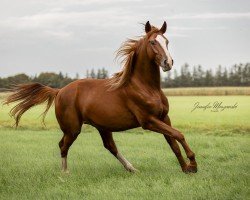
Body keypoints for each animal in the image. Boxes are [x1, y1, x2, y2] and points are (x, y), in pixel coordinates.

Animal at [4, 21, 197, 173]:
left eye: (166, 41)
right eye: (152, 42)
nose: (168, 63)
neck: (145, 87)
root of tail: (59, 91)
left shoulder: (164, 117)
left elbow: (173, 143)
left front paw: (185, 169)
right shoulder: (148, 121)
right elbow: (179, 135)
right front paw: (193, 165)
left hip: (102, 126)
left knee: (110, 146)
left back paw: (132, 169)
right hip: (73, 128)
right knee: (63, 145)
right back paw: (65, 173)